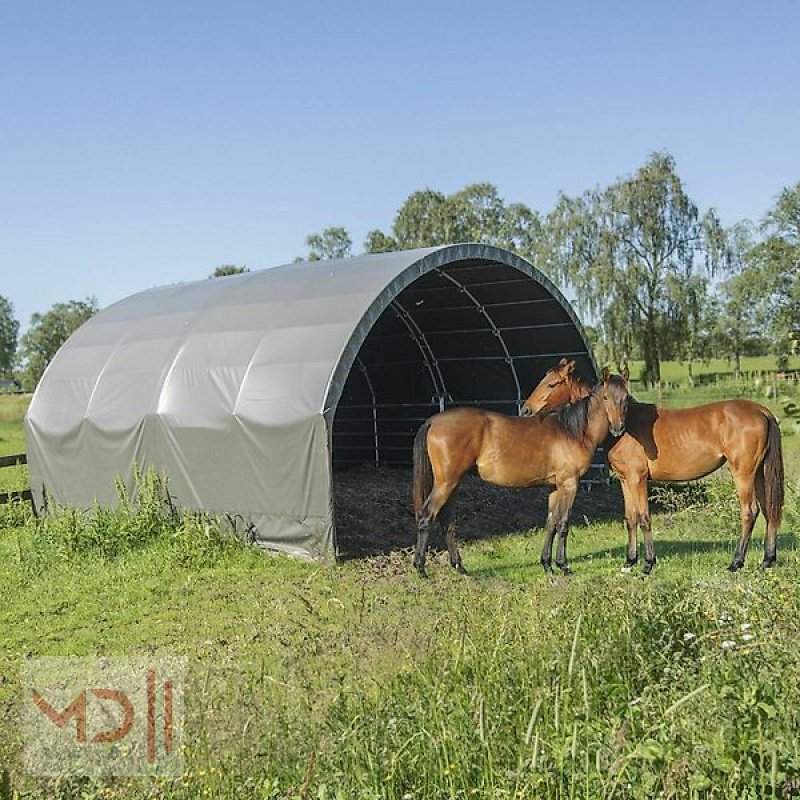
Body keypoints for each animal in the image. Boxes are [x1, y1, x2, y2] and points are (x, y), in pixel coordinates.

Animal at [412, 368, 632, 576]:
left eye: (626, 397)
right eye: (605, 397)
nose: (618, 428)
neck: (572, 432)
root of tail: (433, 421)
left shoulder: (555, 487)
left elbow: (551, 523)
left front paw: (547, 565)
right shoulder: (569, 483)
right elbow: (563, 524)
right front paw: (564, 566)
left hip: (453, 483)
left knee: (446, 520)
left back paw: (459, 567)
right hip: (446, 483)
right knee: (426, 516)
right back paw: (421, 568)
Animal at [520, 360, 784, 572]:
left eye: (551, 384)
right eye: (606, 398)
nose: (525, 409)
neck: (626, 427)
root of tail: (761, 410)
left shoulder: (638, 478)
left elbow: (644, 517)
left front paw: (648, 563)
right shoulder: (625, 479)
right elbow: (630, 518)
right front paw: (629, 562)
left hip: (743, 473)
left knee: (749, 511)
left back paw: (736, 562)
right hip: (759, 474)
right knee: (770, 510)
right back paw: (766, 560)